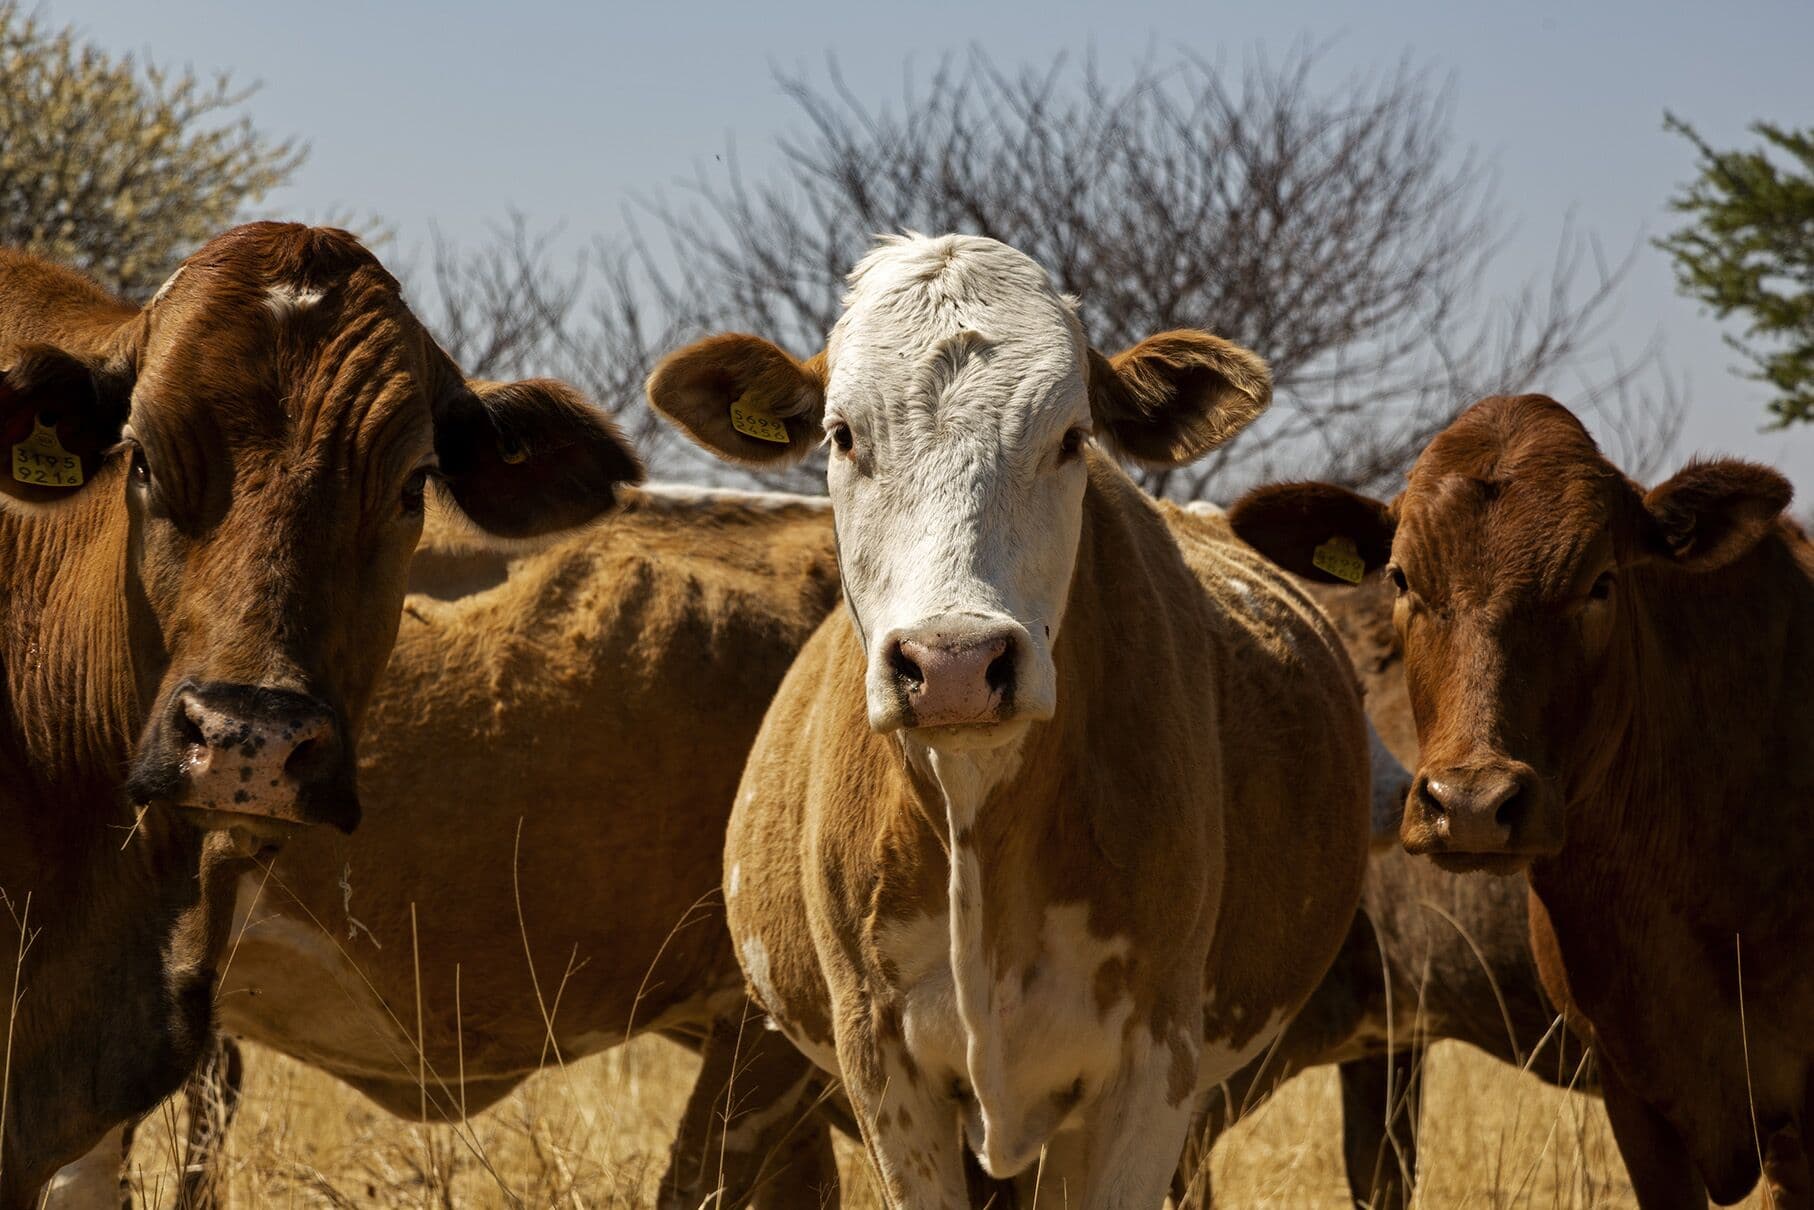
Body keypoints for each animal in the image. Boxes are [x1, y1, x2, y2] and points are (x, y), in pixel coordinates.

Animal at [645, 233, 1372, 1208]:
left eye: (1072, 437)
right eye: (842, 434)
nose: (953, 664)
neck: (979, 822)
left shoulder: (1152, 1066)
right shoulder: (883, 1067)